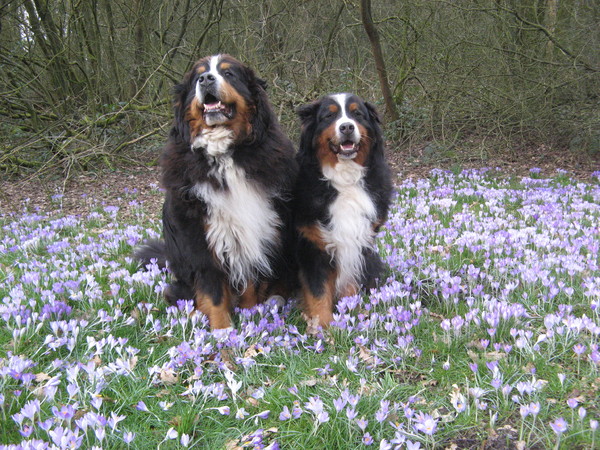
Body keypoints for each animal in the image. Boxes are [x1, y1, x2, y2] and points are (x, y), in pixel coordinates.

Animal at [135, 55, 296, 330]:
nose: (206, 79)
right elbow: (213, 291)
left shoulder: (253, 226)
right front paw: (223, 330)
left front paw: (249, 315)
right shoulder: (200, 238)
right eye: (196, 76)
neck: (224, 155)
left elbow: (249, 283)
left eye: (228, 73)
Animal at [294, 93, 394, 328]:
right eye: (329, 116)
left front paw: (351, 310)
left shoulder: (360, 240)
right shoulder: (312, 244)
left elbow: (351, 282)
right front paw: (324, 327)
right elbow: (318, 291)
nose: (347, 126)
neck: (345, 180)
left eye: (357, 114)